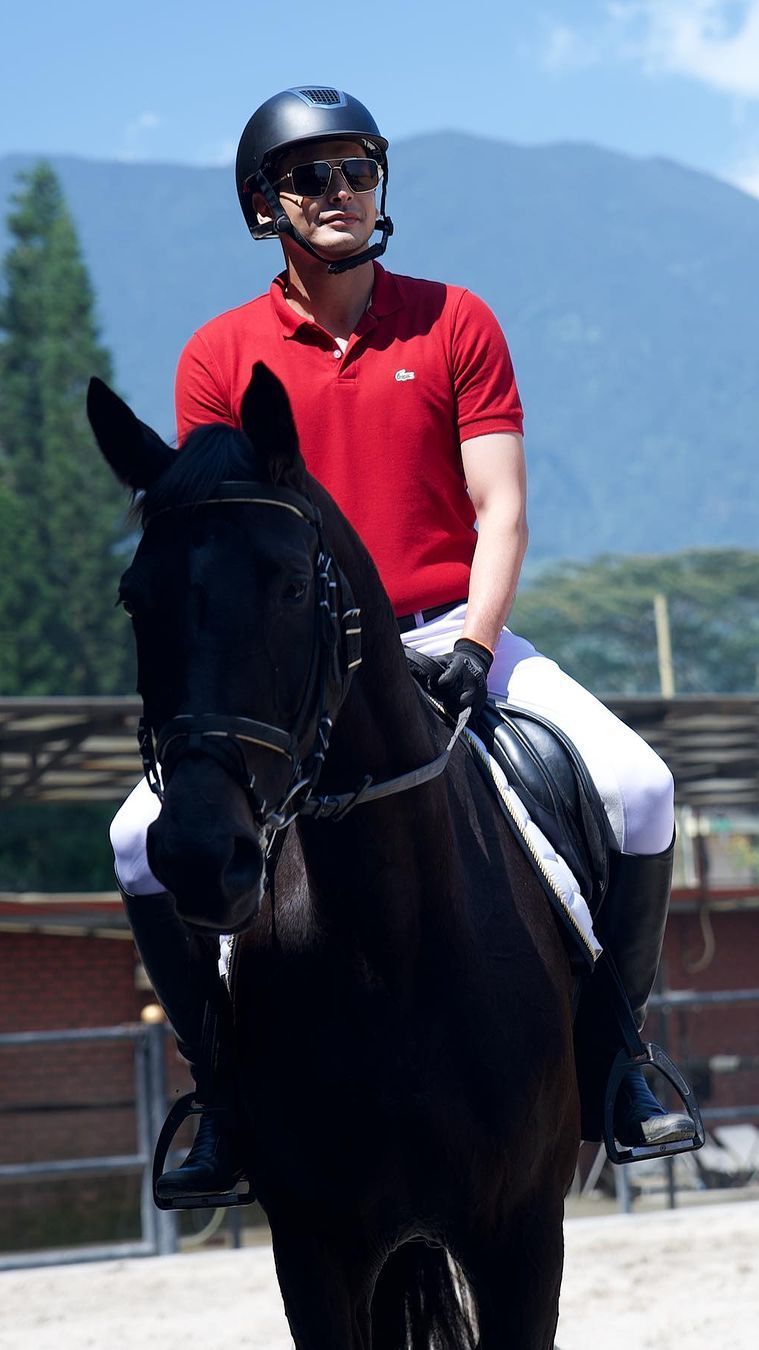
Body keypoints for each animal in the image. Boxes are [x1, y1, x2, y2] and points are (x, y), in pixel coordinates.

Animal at [87, 364, 572, 1350]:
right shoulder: (314, 1251)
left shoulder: (521, 1237)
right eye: (134, 597)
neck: (388, 940)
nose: (199, 856)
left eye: (285, 586)